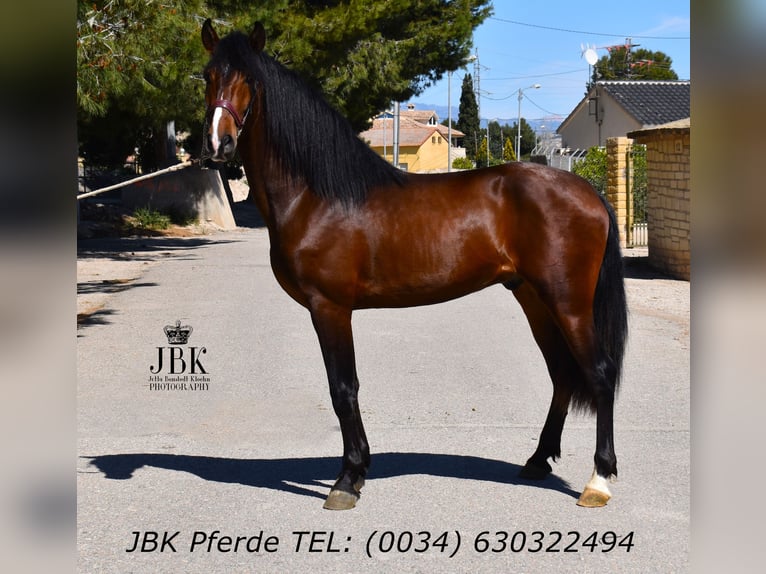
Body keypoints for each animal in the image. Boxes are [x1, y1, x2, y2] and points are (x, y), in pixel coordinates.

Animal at [200, 20, 628, 511]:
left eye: (249, 81)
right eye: (208, 76)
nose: (217, 144)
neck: (317, 194)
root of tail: (589, 192)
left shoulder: (329, 308)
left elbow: (343, 389)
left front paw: (347, 479)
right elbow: (344, 389)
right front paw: (358, 470)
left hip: (569, 303)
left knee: (599, 375)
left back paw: (598, 480)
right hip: (534, 300)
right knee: (561, 375)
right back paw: (537, 460)